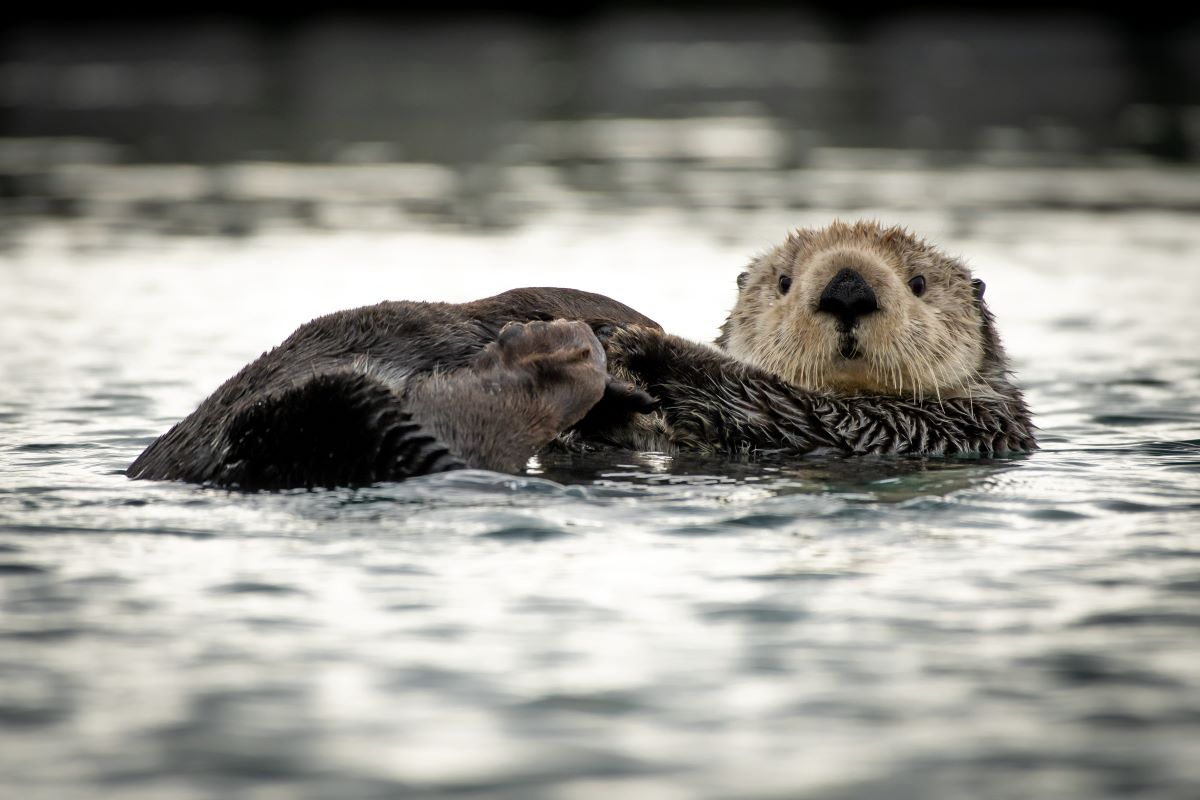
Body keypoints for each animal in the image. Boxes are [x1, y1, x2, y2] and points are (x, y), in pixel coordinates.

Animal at [595, 220, 1037, 456]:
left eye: (919, 283)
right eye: (783, 282)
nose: (847, 290)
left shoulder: (930, 426)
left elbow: (784, 407)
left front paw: (642, 345)